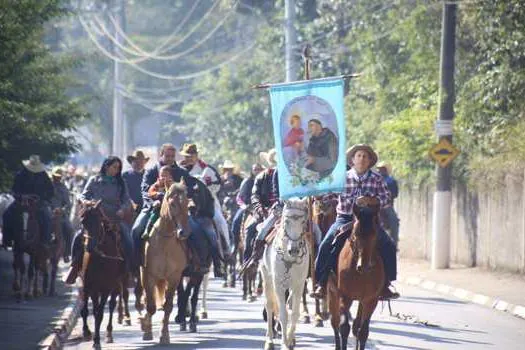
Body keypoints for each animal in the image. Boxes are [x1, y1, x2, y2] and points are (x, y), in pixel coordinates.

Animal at [78, 201, 127, 348]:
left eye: (98, 222)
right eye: (82, 221)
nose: (89, 247)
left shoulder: (106, 287)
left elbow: (99, 313)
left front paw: (97, 341)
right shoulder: (88, 285)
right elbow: (86, 310)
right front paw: (87, 333)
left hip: (116, 284)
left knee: (111, 305)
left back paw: (109, 334)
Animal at [139, 182, 190, 344]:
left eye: (187, 203)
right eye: (172, 204)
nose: (184, 233)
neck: (165, 242)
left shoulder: (174, 277)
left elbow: (167, 306)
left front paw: (164, 335)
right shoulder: (148, 275)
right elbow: (150, 306)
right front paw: (147, 331)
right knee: (146, 299)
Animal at [260, 198, 310, 348]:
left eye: (303, 222)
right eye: (286, 221)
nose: (293, 250)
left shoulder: (299, 284)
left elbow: (294, 313)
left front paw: (290, 339)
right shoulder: (279, 284)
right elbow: (283, 314)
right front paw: (284, 344)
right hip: (267, 279)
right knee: (269, 305)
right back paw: (269, 340)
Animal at [328, 196, 384, 350]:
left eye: (374, 234)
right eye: (356, 234)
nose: (363, 267)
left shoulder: (371, 300)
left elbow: (363, 331)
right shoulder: (344, 297)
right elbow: (344, 328)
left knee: (356, 326)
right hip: (332, 293)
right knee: (335, 322)